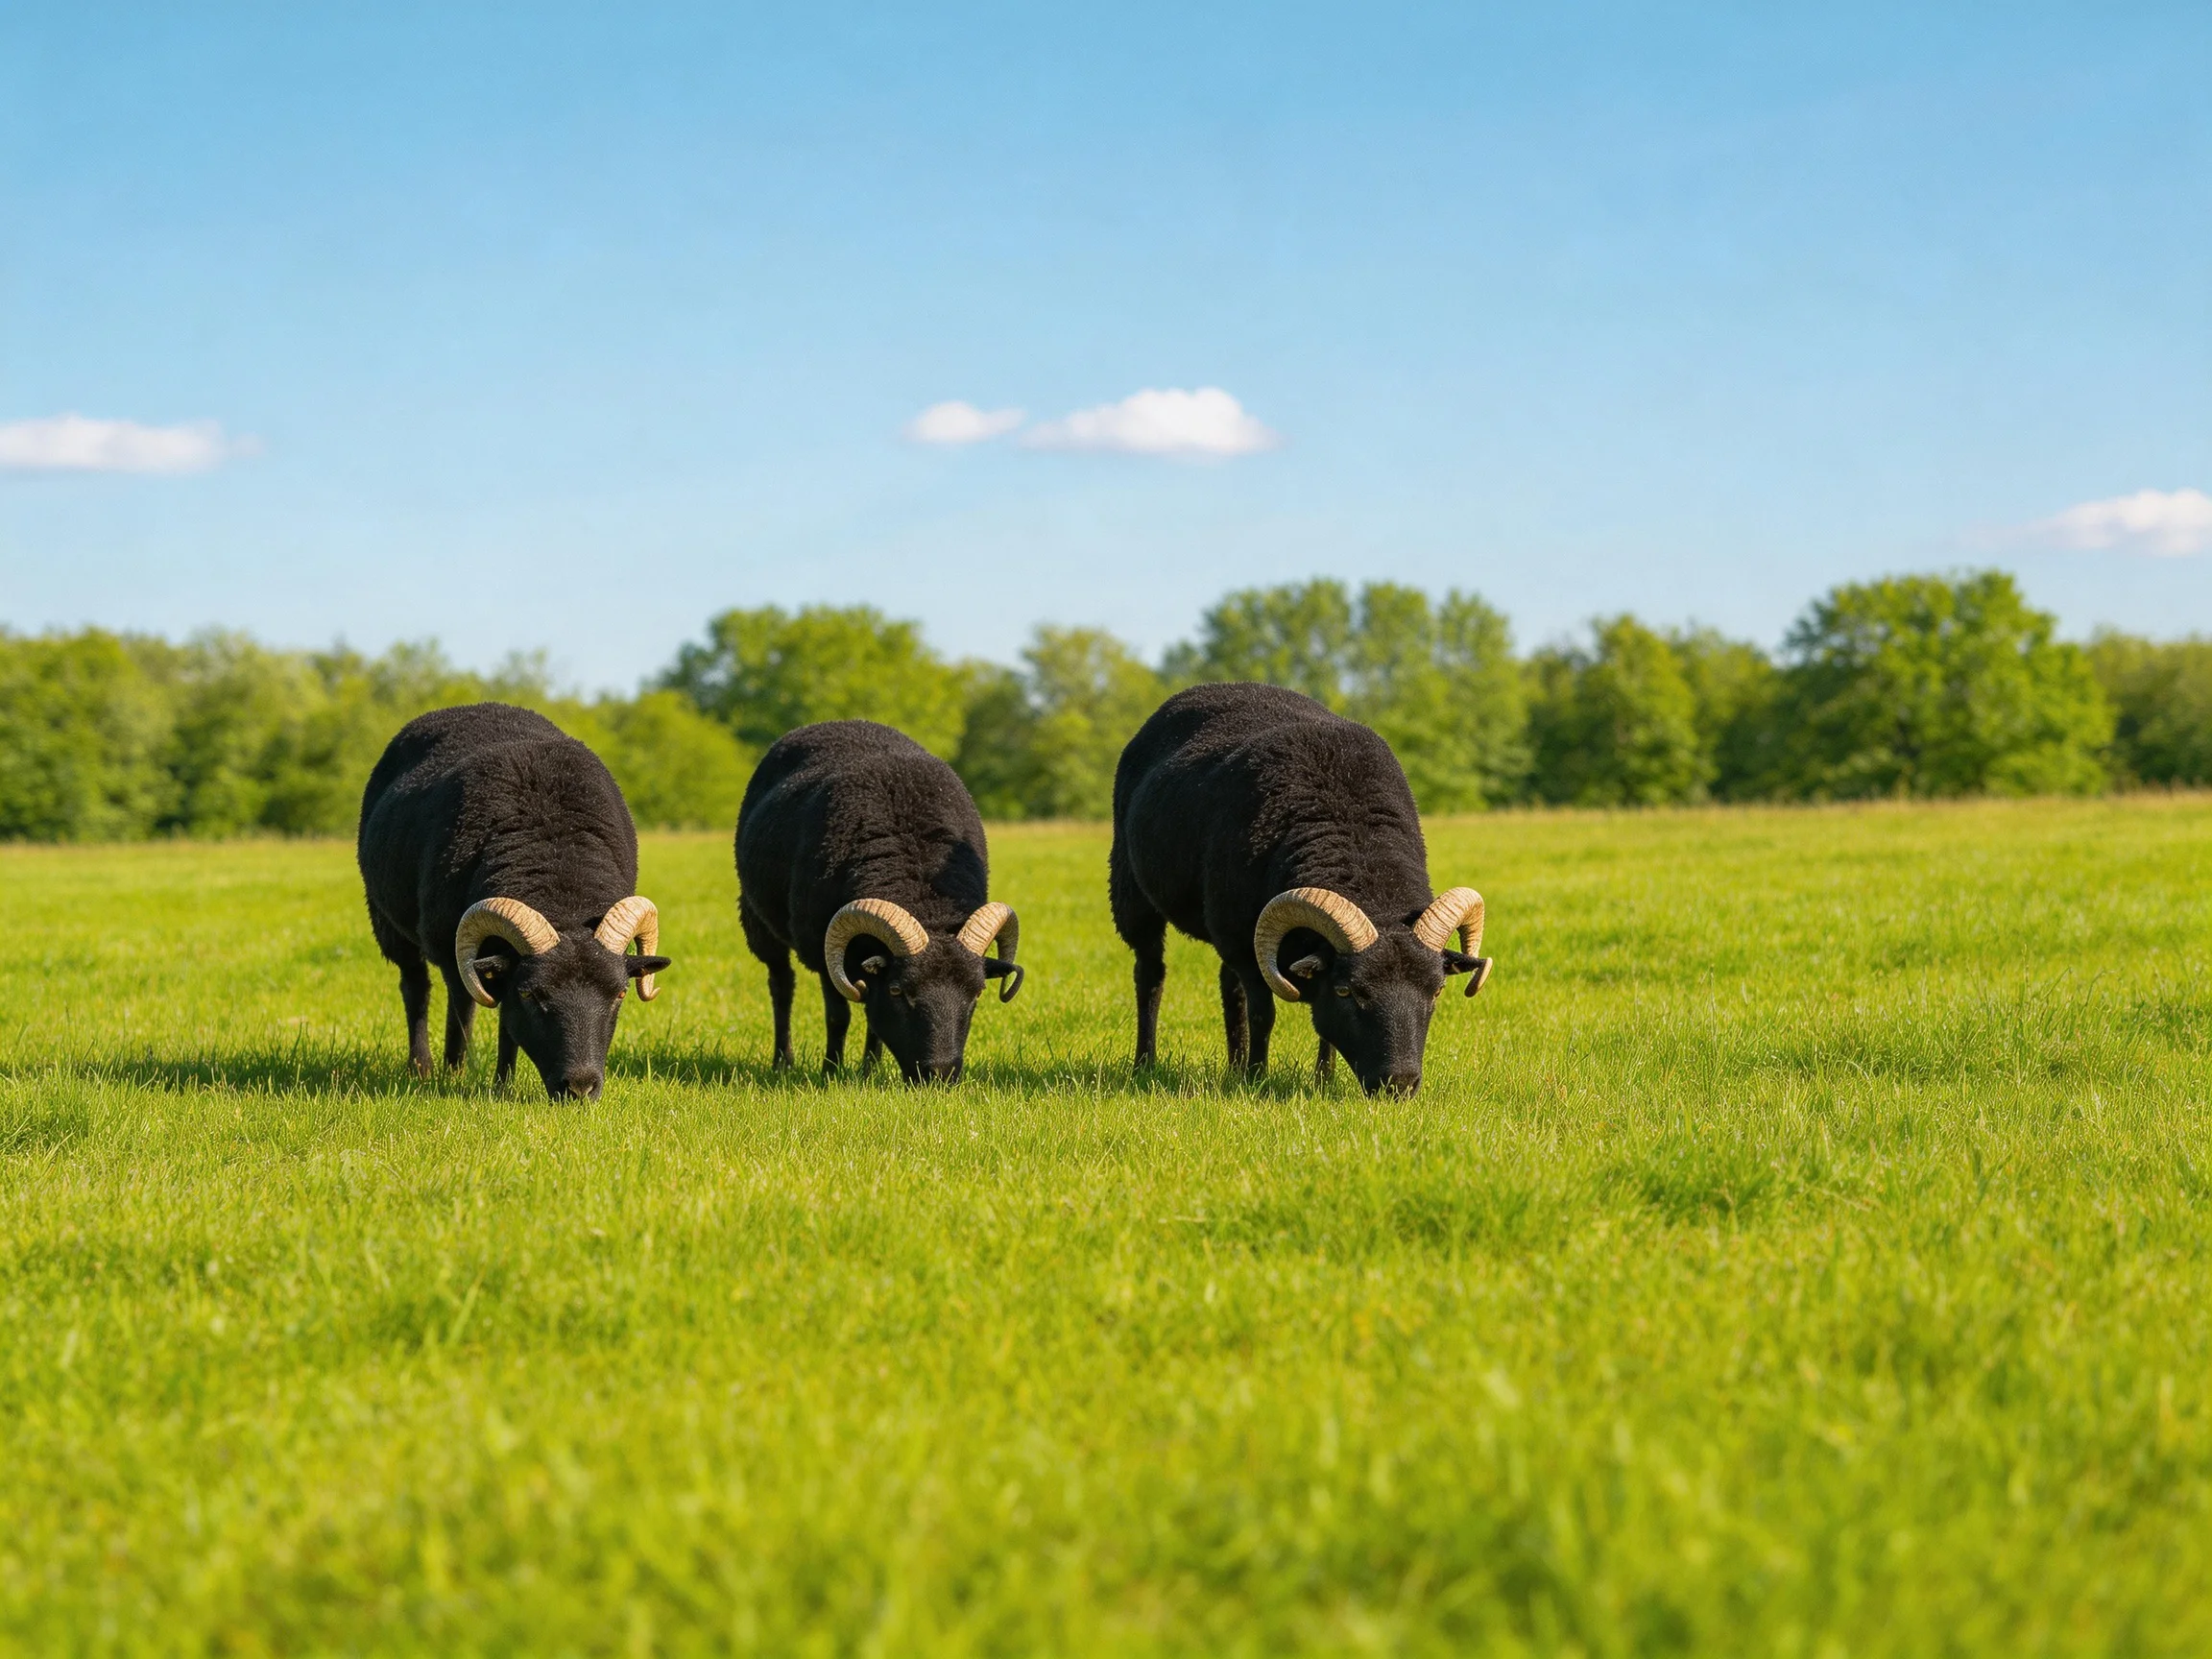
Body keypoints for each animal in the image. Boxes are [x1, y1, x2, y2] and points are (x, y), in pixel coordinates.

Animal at [357, 703, 669, 1099]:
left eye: (620, 995)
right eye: (532, 995)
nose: (580, 1088)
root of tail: (468, 707)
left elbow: (507, 1025)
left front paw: (502, 1085)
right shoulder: (453, 951)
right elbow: (468, 1012)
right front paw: (457, 1074)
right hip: (386, 922)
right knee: (416, 989)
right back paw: (423, 1067)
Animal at [735, 720, 1021, 1081]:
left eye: (977, 992)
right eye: (899, 991)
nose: (940, 1074)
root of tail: (839, 722)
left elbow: (873, 1017)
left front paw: (870, 1069)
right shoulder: (824, 950)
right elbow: (838, 1016)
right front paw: (831, 1072)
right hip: (756, 920)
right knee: (781, 985)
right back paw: (783, 1061)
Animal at [1109, 682, 1491, 1094]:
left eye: (1436, 991)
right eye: (1347, 992)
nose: (1398, 1084)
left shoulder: (1247, 938)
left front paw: (1323, 1079)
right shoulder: (1247, 946)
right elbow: (1263, 1013)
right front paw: (1256, 1079)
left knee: (1228, 987)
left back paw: (1232, 1066)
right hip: (1132, 893)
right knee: (1150, 975)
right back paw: (1146, 1063)